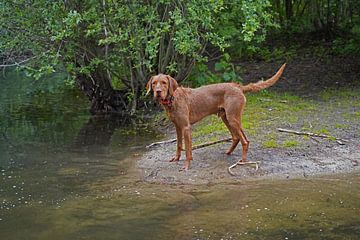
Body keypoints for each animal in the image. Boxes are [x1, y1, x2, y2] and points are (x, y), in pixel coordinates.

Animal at [146, 62, 286, 170]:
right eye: (154, 83)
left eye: (164, 82)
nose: (158, 92)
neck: (172, 99)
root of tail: (238, 86)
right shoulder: (177, 127)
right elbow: (179, 145)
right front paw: (176, 158)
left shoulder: (186, 127)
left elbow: (188, 150)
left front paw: (186, 166)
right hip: (228, 118)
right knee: (238, 137)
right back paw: (229, 152)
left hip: (232, 119)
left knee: (244, 141)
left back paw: (243, 161)